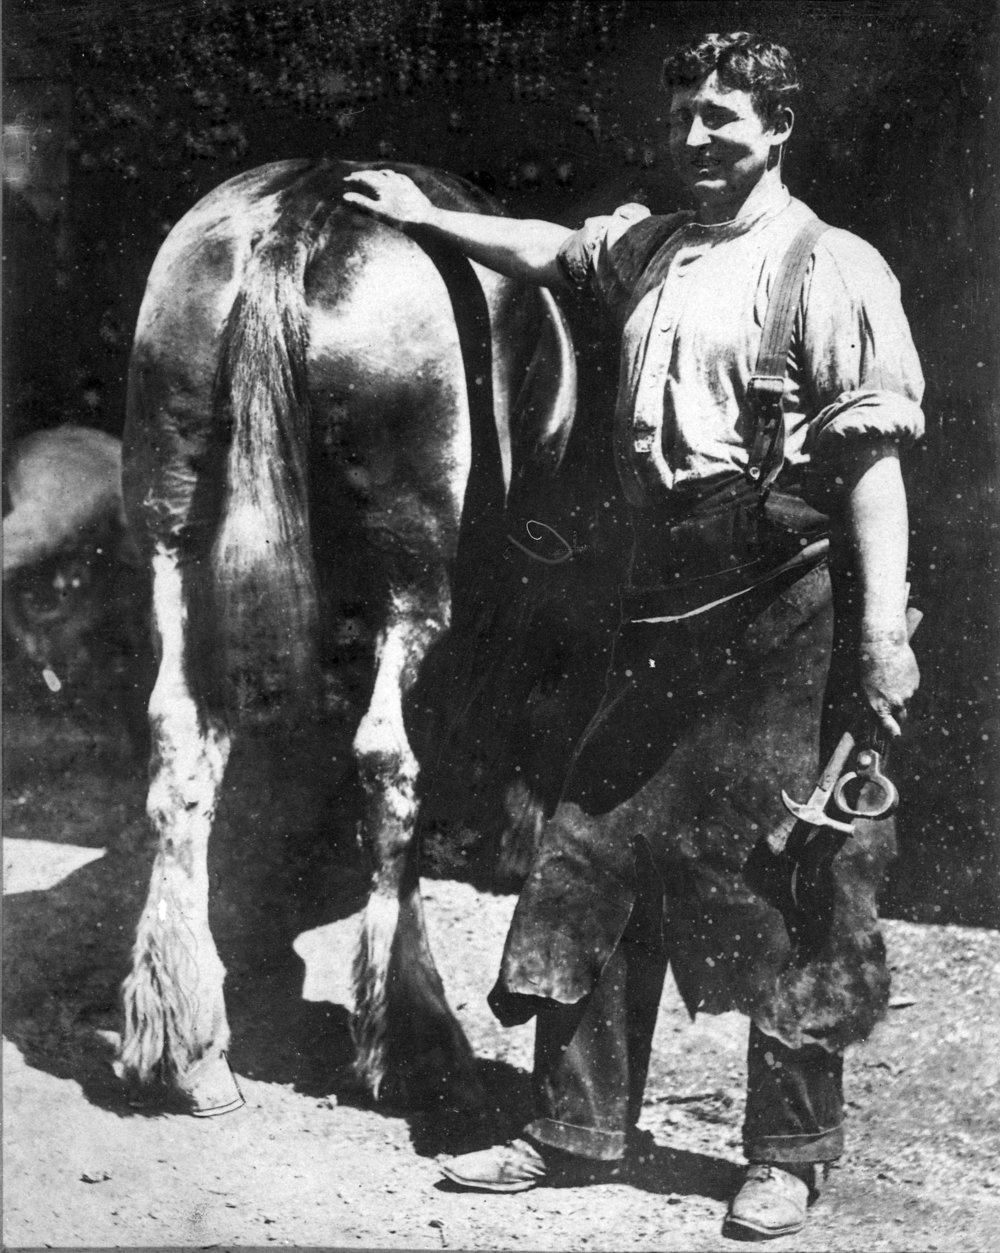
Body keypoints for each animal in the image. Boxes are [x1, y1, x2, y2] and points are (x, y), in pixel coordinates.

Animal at [116, 159, 576, 1115]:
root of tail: (304, 206)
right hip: (417, 573)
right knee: (386, 759)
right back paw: (415, 1045)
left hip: (170, 540)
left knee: (179, 741)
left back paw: (186, 1048)